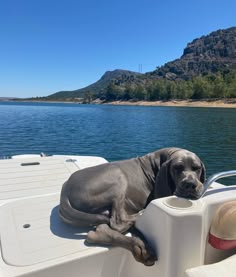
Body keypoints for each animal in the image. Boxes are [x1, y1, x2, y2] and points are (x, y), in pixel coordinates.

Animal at [59, 147, 205, 266]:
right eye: (177, 167)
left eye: (197, 168)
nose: (190, 184)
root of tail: (65, 192)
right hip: (117, 175)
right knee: (118, 222)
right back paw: (140, 221)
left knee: (99, 230)